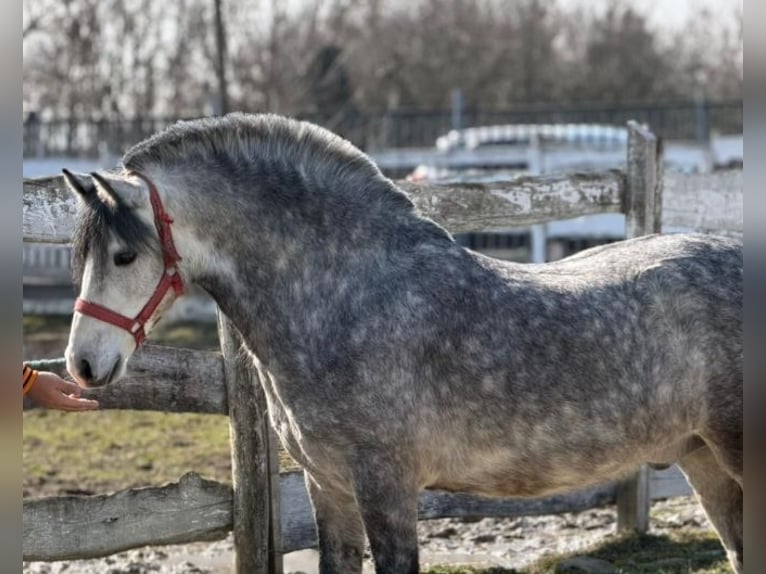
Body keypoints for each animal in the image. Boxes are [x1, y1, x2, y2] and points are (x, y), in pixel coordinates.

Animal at [63, 113, 743, 574]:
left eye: (124, 255)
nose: (83, 364)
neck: (345, 297)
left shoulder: (386, 487)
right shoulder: (328, 487)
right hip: (703, 459)